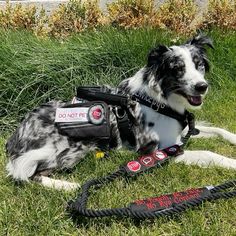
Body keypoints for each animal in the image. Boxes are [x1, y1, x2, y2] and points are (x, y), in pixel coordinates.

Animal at [5, 34, 236, 190]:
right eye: (177, 68)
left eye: (199, 65)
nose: (202, 87)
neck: (161, 100)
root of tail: (18, 133)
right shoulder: (160, 150)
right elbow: (209, 153)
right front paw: (232, 163)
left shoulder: (184, 132)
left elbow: (218, 130)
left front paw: (233, 138)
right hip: (73, 147)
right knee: (27, 175)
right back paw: (69, 186)